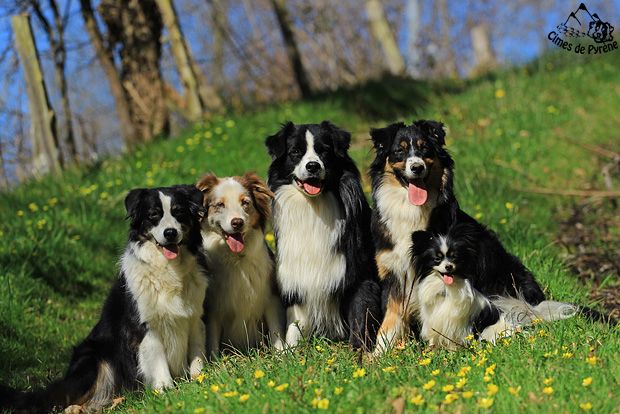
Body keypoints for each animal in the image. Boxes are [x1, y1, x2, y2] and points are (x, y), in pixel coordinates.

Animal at [0, 186, 209, 412]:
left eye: (179, 212)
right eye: (153, 215)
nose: (170, 233)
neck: (167, 270)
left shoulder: (194, 317)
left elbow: (197, 352)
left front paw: (200, 379)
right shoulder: (144, 326)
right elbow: (158, 362)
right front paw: (166, 391)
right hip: (93, 361)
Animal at [266, 121, 382, 350]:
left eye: (325, 151)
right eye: (295, 152)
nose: (313, 166)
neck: (314, 206)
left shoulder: (360, 278)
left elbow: (360, 316)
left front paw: (359, 354)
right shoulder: (298, 277)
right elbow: (294, 323)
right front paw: (289, 353)